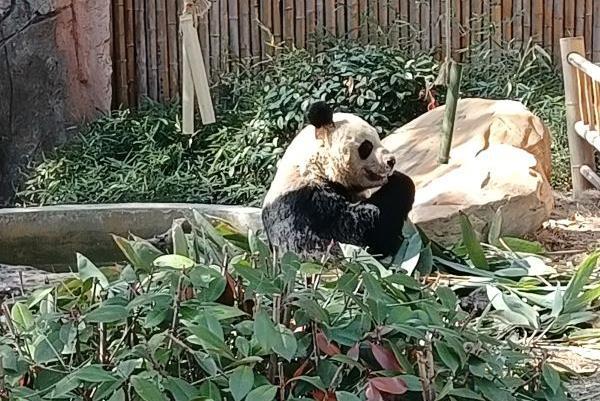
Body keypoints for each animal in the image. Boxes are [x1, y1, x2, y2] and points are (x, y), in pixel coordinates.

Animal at [260, 101, 414, 260]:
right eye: (367, 146)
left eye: (378, 138)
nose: (391, 161)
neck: (315, 166)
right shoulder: (306, 204)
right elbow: (354, 231)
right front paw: (400, 182)